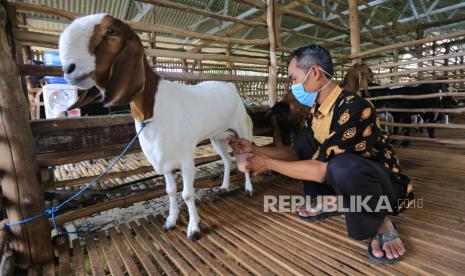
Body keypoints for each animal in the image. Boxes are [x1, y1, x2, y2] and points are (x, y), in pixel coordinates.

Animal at [59, 14, 254, 240]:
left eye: (112, 31)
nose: (68, 69)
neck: (152, 111)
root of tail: (230, 87)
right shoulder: (165, 161)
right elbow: (170, 191)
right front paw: (171, 221)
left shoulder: (186, 159)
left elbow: (187, 194)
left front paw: (194, 229)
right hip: (218, 137)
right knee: (227, 160)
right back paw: (223, 186)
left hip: (242, 130)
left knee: (245, 159)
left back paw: (249, 188)